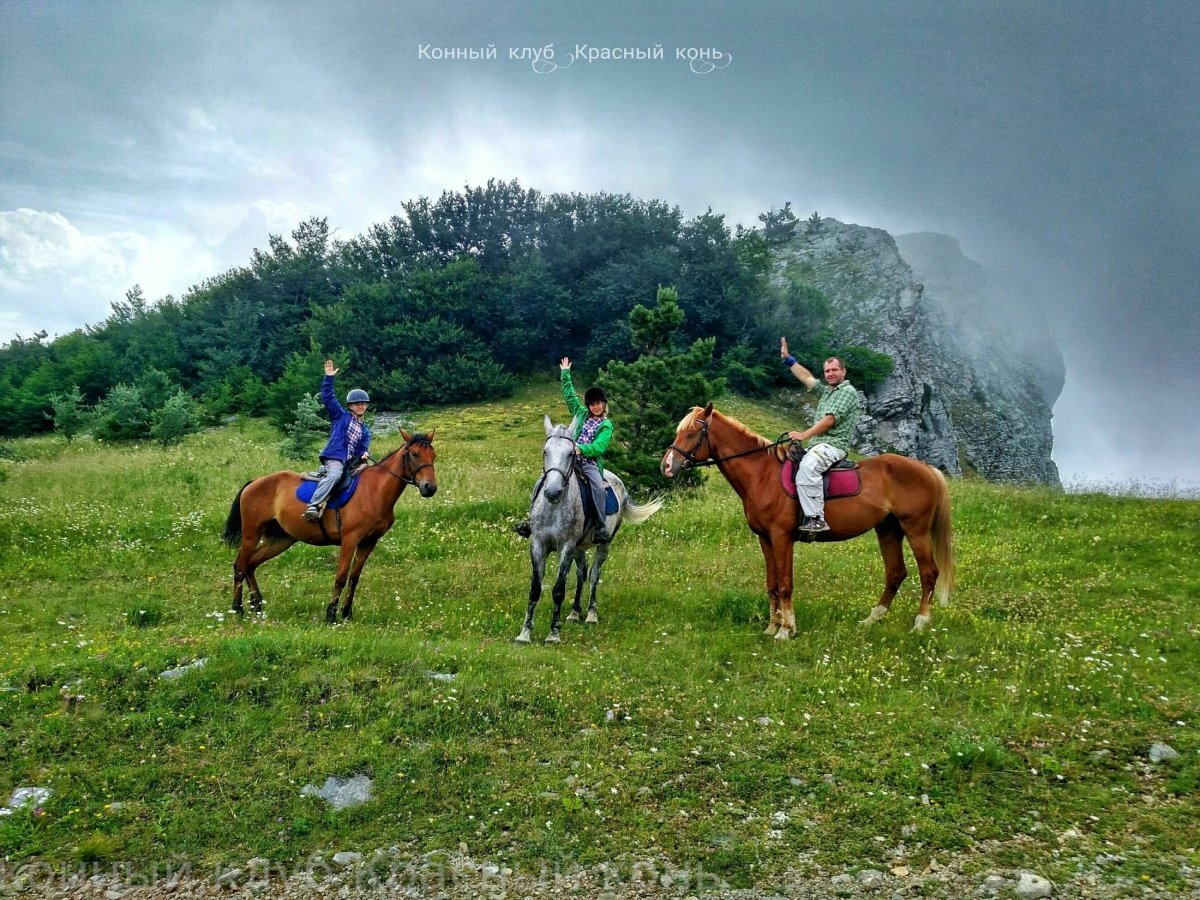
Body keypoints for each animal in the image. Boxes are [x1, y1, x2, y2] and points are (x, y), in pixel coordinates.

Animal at [220, 434, 436, 624]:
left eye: (433, 456)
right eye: (415, 454)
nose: (430, 487)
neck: (375, 490)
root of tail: (254, 482)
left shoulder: (368, 542)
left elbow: (354, 578)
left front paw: (347, 614)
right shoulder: (350, 539)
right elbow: (341, 577)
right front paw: (331, 616)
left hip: (280, 539)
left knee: (251, 565)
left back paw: (256, 605)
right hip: (251, 534)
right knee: (240, 565)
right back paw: (237, 608)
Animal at [516, 420, 667, 643]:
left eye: (571, 453)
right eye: (545, 451)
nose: (552, 492)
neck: (553, 508)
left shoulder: (566, 547)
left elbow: (558, 590)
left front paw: (553, 633)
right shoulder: (538, 545)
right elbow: (535, 588)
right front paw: (525, 633)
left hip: (602, 545)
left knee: (594, 574)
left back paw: (591, 615)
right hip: (579, 548)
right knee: (582, 573)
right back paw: (574, 613)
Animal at [662, 405, 950, 638]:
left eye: (691, 434)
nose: (666, 466)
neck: (762, 475)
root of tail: (928, 469)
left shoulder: (782, 538)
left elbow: (785, 584)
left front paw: (786, 630)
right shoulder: (765, 539)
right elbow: (772, 585)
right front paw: (772, 627)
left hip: (916, 530)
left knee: (929, 573)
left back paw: (920, 623)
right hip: (888, 530)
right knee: (895, 573)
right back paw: (871, 619)